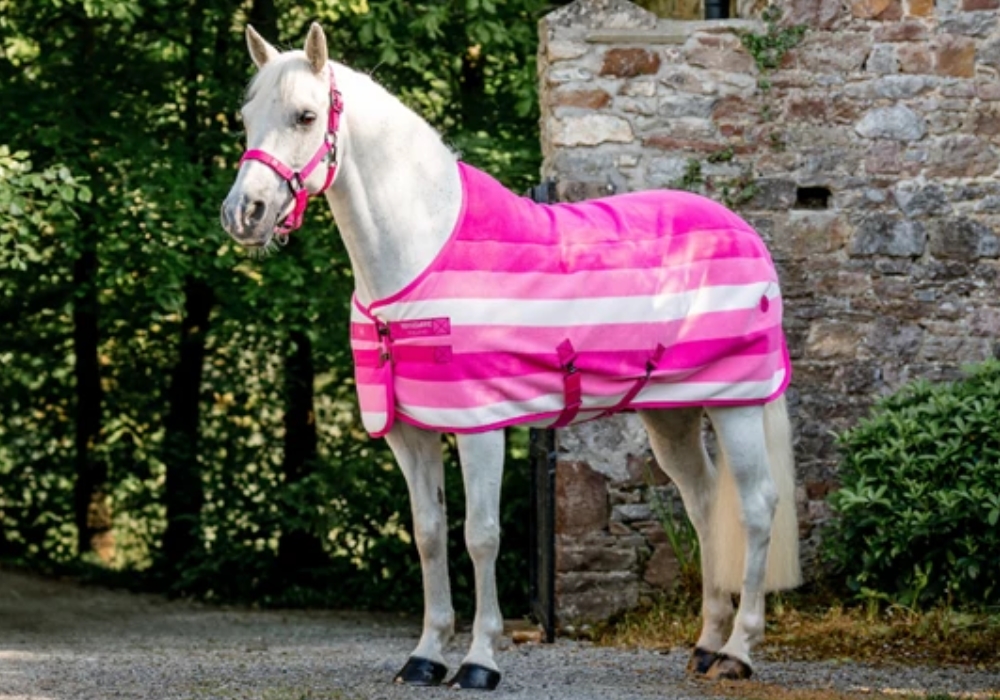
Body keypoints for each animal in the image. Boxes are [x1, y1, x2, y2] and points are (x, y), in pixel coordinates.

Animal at [220, 23, 801, 691]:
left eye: (306, 116)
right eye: (246, 117)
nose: (243, 214)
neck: (420, 252)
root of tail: (743, 230)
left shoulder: (481, 427)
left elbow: (481, 536)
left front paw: (480, 661)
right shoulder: (410, 432)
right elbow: (428, 534)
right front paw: (425, 656)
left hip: (736, 404)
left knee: (755, 507)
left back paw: (738, 651)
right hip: (671, 413)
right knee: (704, 503)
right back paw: (705, 644)